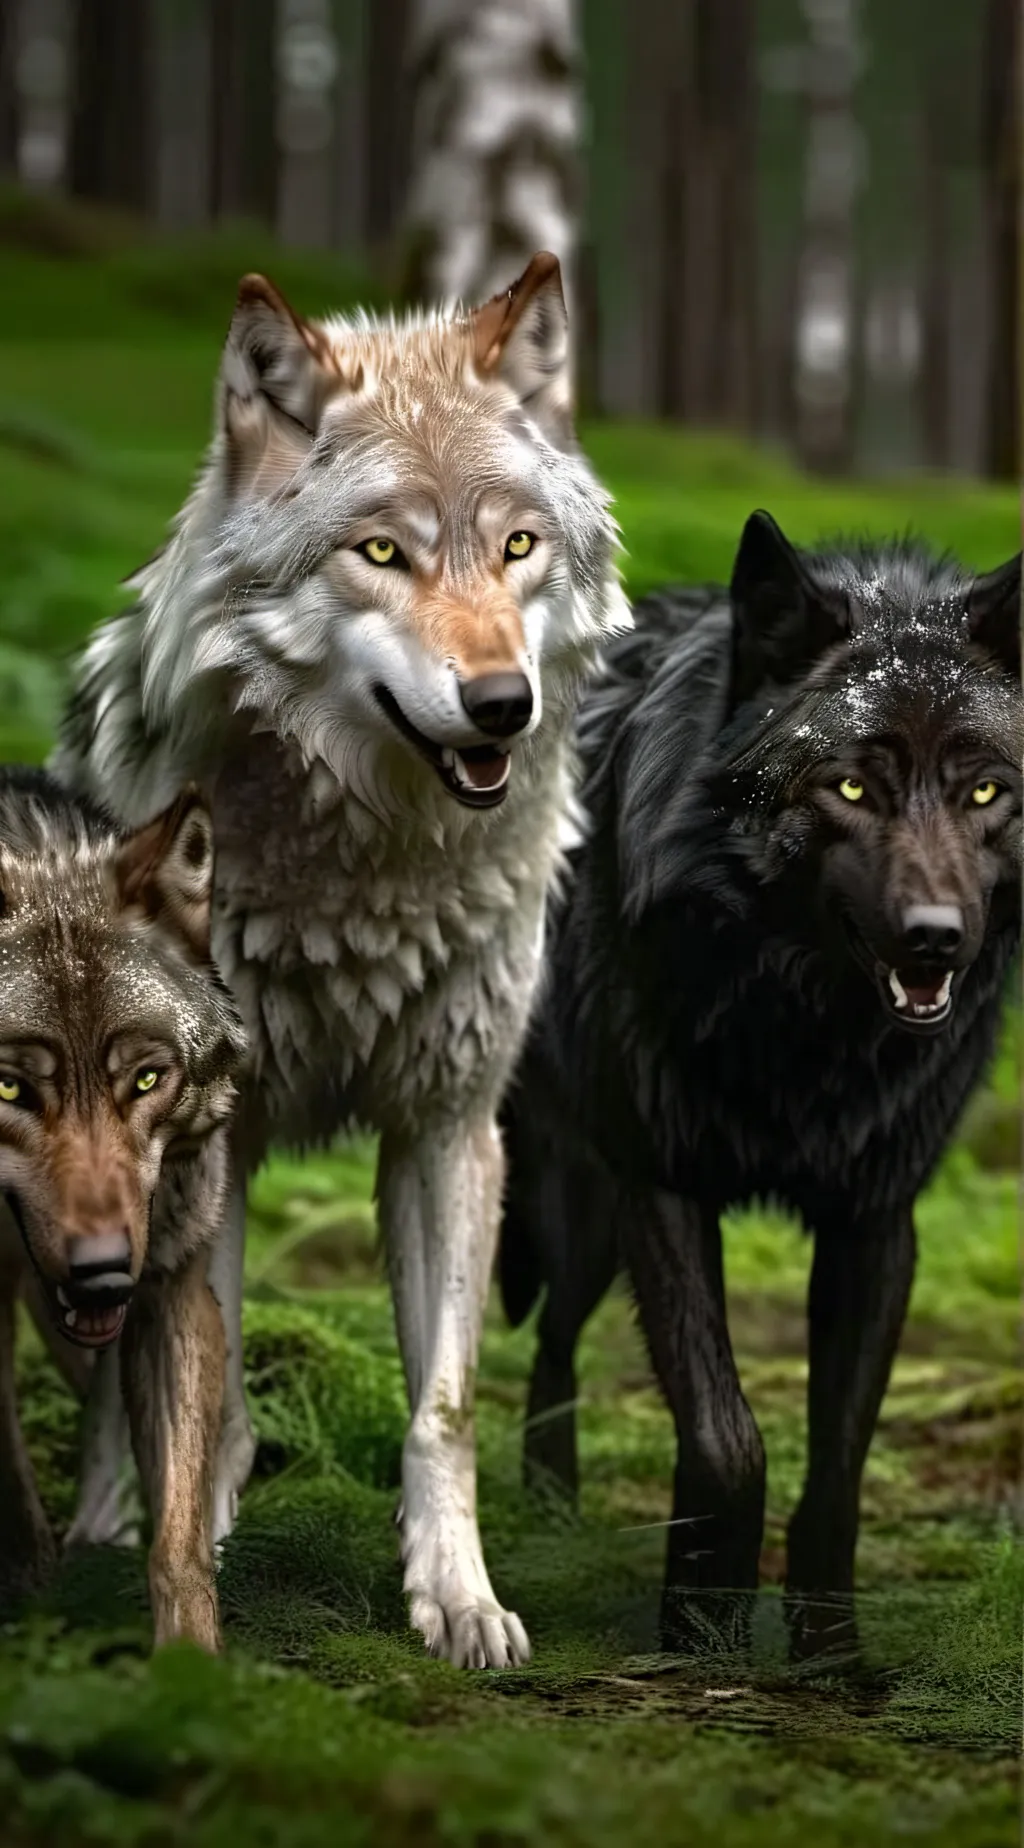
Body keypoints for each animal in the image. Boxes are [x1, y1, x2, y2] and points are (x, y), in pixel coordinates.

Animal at [0, 770, 246, 1649]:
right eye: (9, 1087)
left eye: (145, 1079)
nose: (103, 1275)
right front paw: (32, 1590)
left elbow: (178, 1540)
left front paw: (191, 1668)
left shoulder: (172, 1290)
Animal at [52, 253, 629, 1667]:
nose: (502, 706)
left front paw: (458, 1598)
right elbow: (196, 1400)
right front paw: (181, 1571)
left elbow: (446, 1407)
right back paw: (98, 1523)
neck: (374, 868)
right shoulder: (215, 1138)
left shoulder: (451, 1126)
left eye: (517, 547)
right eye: (382, 552)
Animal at [498, 511, 1022, 1653]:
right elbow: (726, 1437)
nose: (936, 941)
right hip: (576, 1204)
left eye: (984, 790)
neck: (804, 1029)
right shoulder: (662, 1185)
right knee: (544, 1337)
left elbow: (839, 1470)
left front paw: (831, 1651)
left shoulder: (876, 1219)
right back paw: (542, 1508)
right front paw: (701, 1627)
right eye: (853, 786)